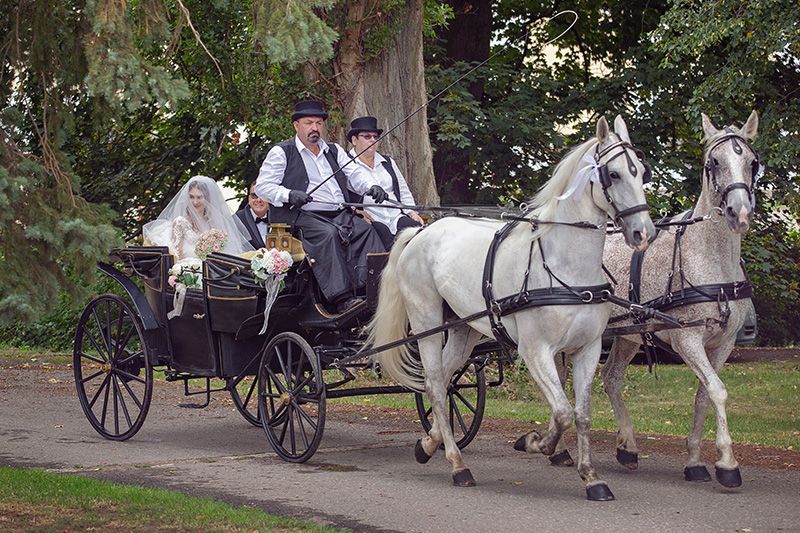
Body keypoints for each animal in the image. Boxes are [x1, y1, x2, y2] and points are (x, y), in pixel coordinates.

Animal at [368, 115, 656, 498]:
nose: (644, 233)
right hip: (426, 322)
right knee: (435, 386)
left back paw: (429, 445)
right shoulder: (535, 350)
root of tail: (421, 232)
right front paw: (535, 442)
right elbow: (562, 412)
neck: (566, 269)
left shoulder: (588, 348)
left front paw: (591, 477)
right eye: (614, 174)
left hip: (461, 329)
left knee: (442, 382)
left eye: (642, 172)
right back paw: (458, 465)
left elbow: (581, 414)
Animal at [600, 111, 764, 486]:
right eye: (713, 162)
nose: (739, 212)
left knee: (610, 378)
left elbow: (704, 395)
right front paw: (728, 463)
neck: (711, 260)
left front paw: (694, 461)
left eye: (752, 162)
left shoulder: (724, 342)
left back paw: (627, 446)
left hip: (628, 334)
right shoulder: (686, 339)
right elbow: (717, 390)